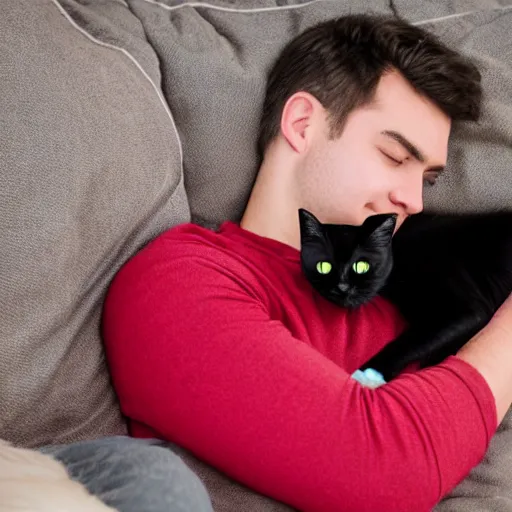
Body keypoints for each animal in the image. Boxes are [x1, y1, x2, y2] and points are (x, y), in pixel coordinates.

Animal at [298, 207, 512, 380]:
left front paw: (366, 375)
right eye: (324, 266)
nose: (341, 287)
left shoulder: (468, 309)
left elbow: (408, 343)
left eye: (362, 266)